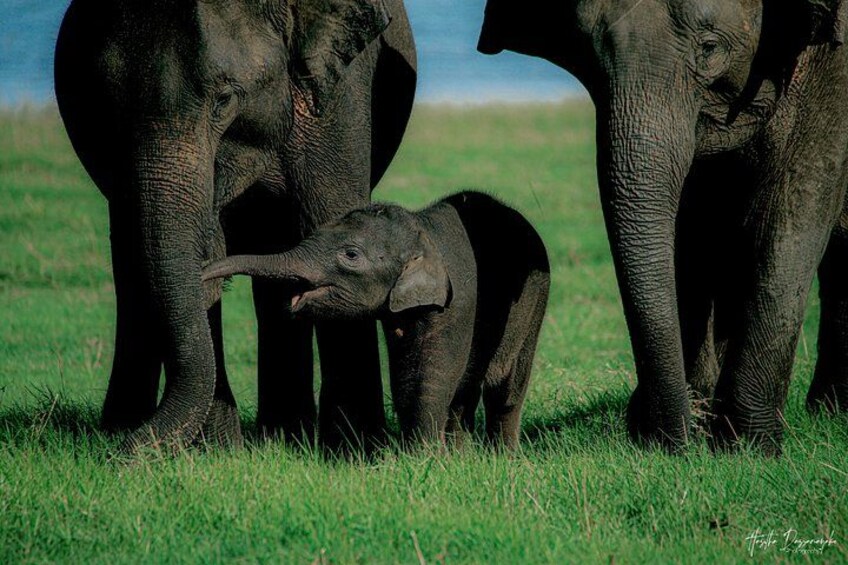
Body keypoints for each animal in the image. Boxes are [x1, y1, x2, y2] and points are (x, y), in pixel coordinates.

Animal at [54, 0, 416, 453]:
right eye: (103, 106)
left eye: (224, 100)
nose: (122, 456)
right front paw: (217, 452)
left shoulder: (339, 94)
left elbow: (329, 211)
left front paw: (358, 449)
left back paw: (288, 437)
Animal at [201, 191, 551, 447]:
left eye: (351, 255)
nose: (202, 273)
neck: (422, 231)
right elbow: (405, 376)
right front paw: (427, 458)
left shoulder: (456, 306)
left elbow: (432, 377)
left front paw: (422, 461)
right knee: (466, 394)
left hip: (534, 302)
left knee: (506, 390)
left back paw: (502, 457)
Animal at [478, 0, 848, 453]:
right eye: (587, 59)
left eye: (710, 48)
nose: (671, 440)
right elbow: (694, 226)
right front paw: (694, 427)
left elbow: (797, 199)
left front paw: (750, 446)